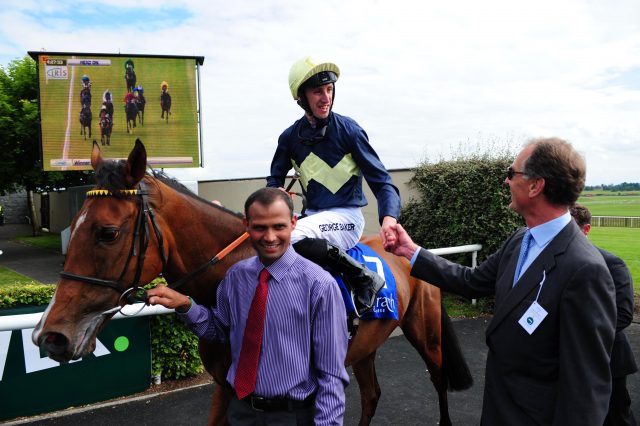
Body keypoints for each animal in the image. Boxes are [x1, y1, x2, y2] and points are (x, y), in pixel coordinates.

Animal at [32, 141, 472, 426]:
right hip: (366, 345)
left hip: (426, 333)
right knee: (371, 394)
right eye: (73, 225)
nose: (49, 335)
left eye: (107, 233)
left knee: (437, 384)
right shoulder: (225, 386)